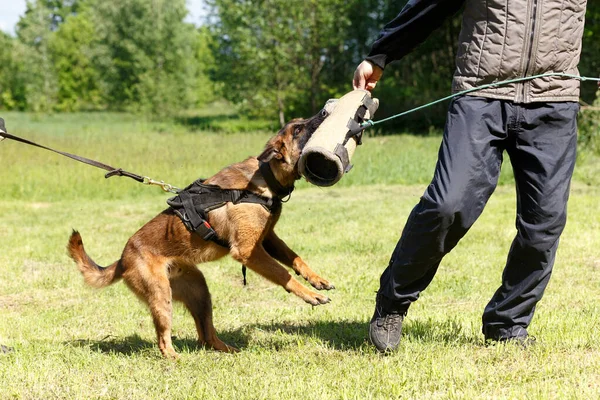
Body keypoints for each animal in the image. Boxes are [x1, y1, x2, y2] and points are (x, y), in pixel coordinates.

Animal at [69, 108, 338, 356]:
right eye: (298, 129)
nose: (326, 110)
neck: (264, 177)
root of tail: (123, 259)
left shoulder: (268, 239)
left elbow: (295, 258)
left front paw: (317, 280)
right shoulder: (248, 252)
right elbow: (283, 273)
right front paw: (310, 295)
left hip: (200, 293)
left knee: (206, 335)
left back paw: (228, 350)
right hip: (161, 297)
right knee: (163, 339)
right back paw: (175, 358)